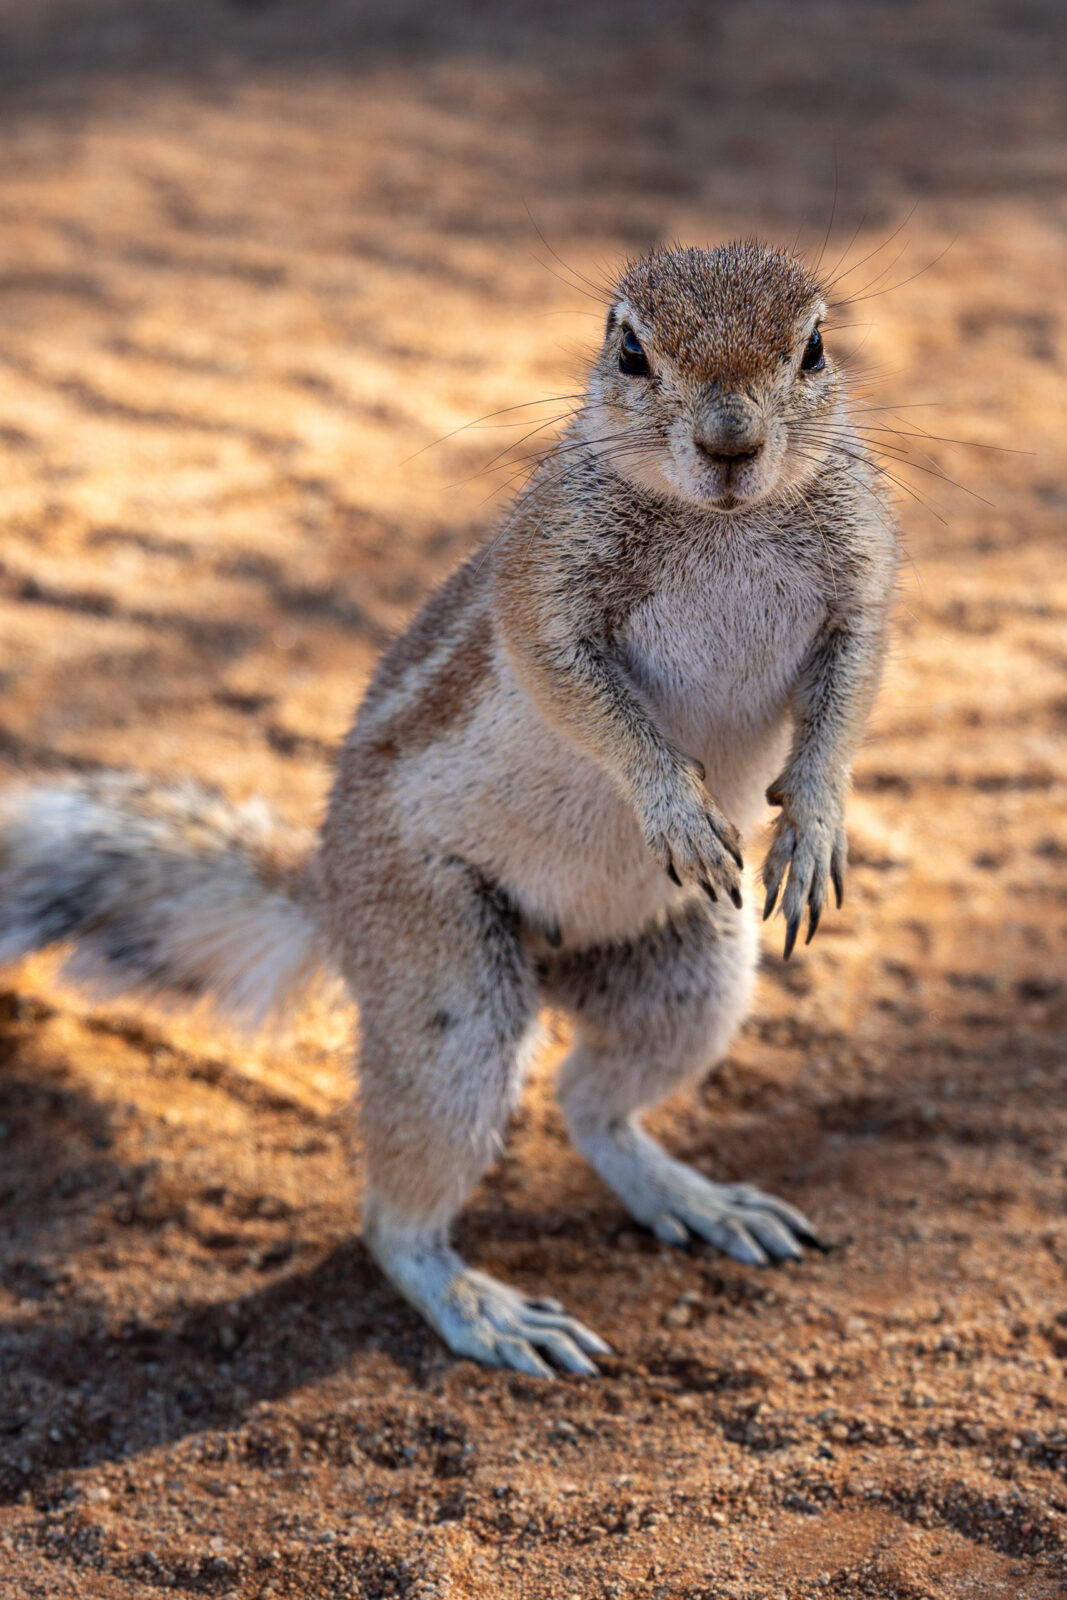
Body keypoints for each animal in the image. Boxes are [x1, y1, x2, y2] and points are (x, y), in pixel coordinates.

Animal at [0, 242, 898, 1378]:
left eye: (813, 345)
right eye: (629, 350)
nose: (729, 444)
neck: (724, 522)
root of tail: (333, 893)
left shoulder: (861, 588)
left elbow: (848, 698)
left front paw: (814, 827)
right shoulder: (544, 588)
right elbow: (577, 693)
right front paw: (673, 806)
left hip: (693, 973)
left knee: (590, 1108)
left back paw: (690, 1198)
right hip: (447, 986)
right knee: (399, 1216)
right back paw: (481, 1305)